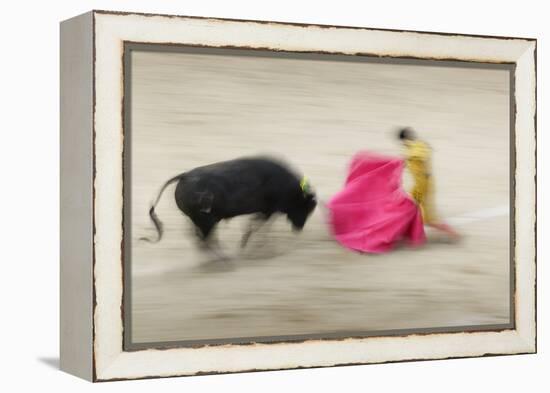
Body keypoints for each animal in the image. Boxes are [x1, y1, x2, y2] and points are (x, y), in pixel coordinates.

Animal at [142, 157, 320, 247]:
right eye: (305, 207)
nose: (299, 228)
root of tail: (184, 176)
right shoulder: (269, 210)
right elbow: (257, 225)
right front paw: (247, 243)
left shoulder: (267, 211)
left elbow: (257, 225)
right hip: (206, 221)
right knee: (205, 240)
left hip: (198, 219)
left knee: (198, 237)